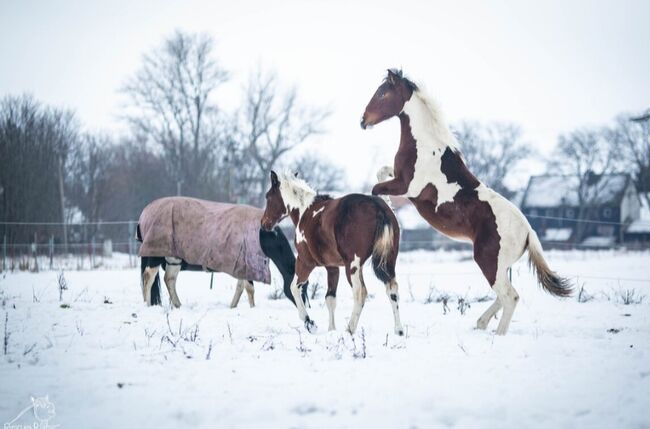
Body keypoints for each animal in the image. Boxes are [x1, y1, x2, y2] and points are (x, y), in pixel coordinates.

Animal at [258, 171, 400, 334]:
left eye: (268, 196)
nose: (264, 223)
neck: (305, 212)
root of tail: (378, 208)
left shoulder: (305, 261)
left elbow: (293, 288)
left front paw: (309, 322)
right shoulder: (332, 267)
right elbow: (330, 298)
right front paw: (331, 329)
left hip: (352, 267)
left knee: (360, 293)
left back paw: (350, 329)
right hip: (387, 262)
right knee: (392, 290)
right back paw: (399, 330)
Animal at [356, 69, 568, 334]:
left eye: (383, 93)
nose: (363, 120)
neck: (425, 146)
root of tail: (528, 231)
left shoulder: (408, 187)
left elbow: (376, 187)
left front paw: (386, 204)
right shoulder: (398, 178)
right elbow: (380, 173)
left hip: (488, 262)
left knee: (510, 297)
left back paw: (496, 334)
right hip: (500, 267)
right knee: (503, 296)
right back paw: (480, 323)